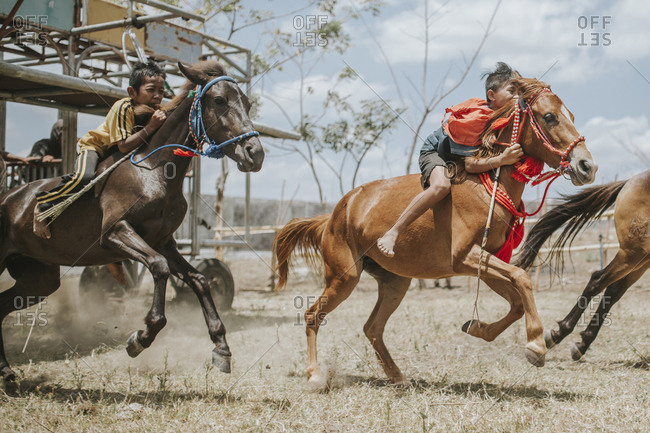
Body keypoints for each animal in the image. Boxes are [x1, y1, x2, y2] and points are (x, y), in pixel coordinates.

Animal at [0, 60, 264, 381]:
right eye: (220, 100)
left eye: (247, 103)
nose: (255, 153)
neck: (155, 170)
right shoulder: (115, 233)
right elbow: (159, 268)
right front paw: (141, 337)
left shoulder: (164, 243)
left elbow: (200, 280)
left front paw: (221, 347)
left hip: (38, 279)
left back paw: (6, 371)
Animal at [272, 77, 598, 387]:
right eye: (549, 117)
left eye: (570, 114)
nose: (587, 166)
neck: (488, 185)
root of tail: (336, 212)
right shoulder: (464, 257)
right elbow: (522, 278)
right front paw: (536, 345)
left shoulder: (485, 261)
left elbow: (517, 299)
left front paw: (479, 328)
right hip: (344, 277)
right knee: (313, 315)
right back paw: (315, 376)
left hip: (395, 282)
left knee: (372, 327)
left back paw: (397, 376)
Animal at [514, 170, 650, 360]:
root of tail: (630, 181)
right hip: (633, 253)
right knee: (598, 281)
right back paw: (560, 334)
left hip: (641, 258)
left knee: (613, 290)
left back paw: (581, 343)